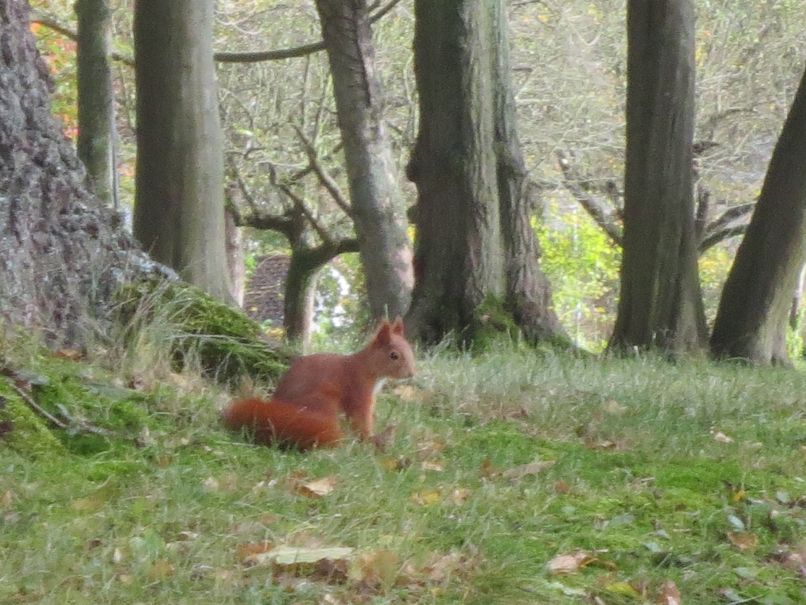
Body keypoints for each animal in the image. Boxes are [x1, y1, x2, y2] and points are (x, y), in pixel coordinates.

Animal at [224, 316, 420, 448]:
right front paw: (368, 438)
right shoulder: (358, 389)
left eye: (410, 349)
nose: (411, 373)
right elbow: (360, 417)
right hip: (324, 402)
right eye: (394, 355)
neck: (366, 367)